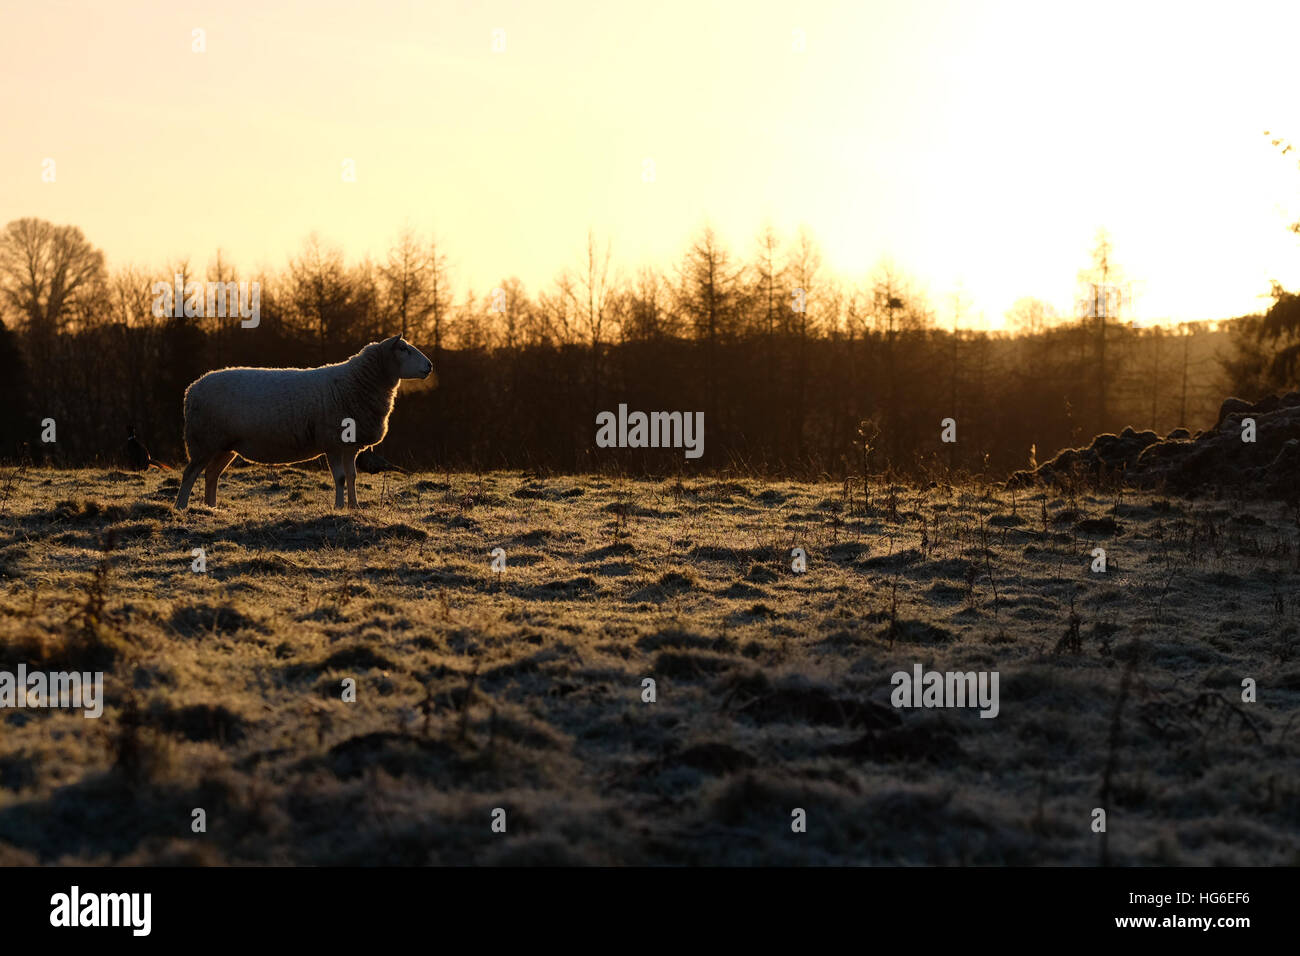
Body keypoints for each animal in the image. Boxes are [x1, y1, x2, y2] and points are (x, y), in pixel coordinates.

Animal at [172, 338, 434, 512]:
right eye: (404, 349)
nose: (430, 366)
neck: (355, 383)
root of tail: (192, 389)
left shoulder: (349, 447)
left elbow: (352, 477)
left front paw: (354, 507)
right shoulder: (332, 443)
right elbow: (340, 478)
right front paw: (339, 507)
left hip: (225, 446)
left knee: (211, 475)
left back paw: (211, 507)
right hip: (203, 440)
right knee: (190, 474)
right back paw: (181, 507)